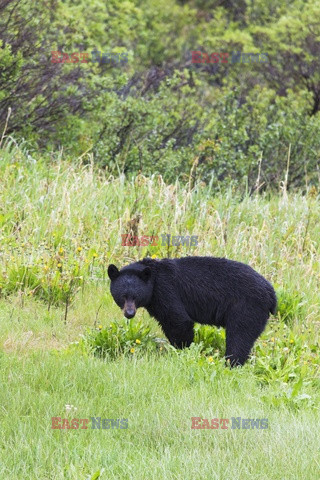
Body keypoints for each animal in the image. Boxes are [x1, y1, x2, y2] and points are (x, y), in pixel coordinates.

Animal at [107, 256, 276, 366]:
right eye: (123, 296)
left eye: (135, 296)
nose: (129, 314)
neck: (153, 280)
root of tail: (271, 293)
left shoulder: (166, 291)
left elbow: (178, 320)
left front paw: (183, 351)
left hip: (246, 308)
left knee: (239, 337)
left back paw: (231, 363)